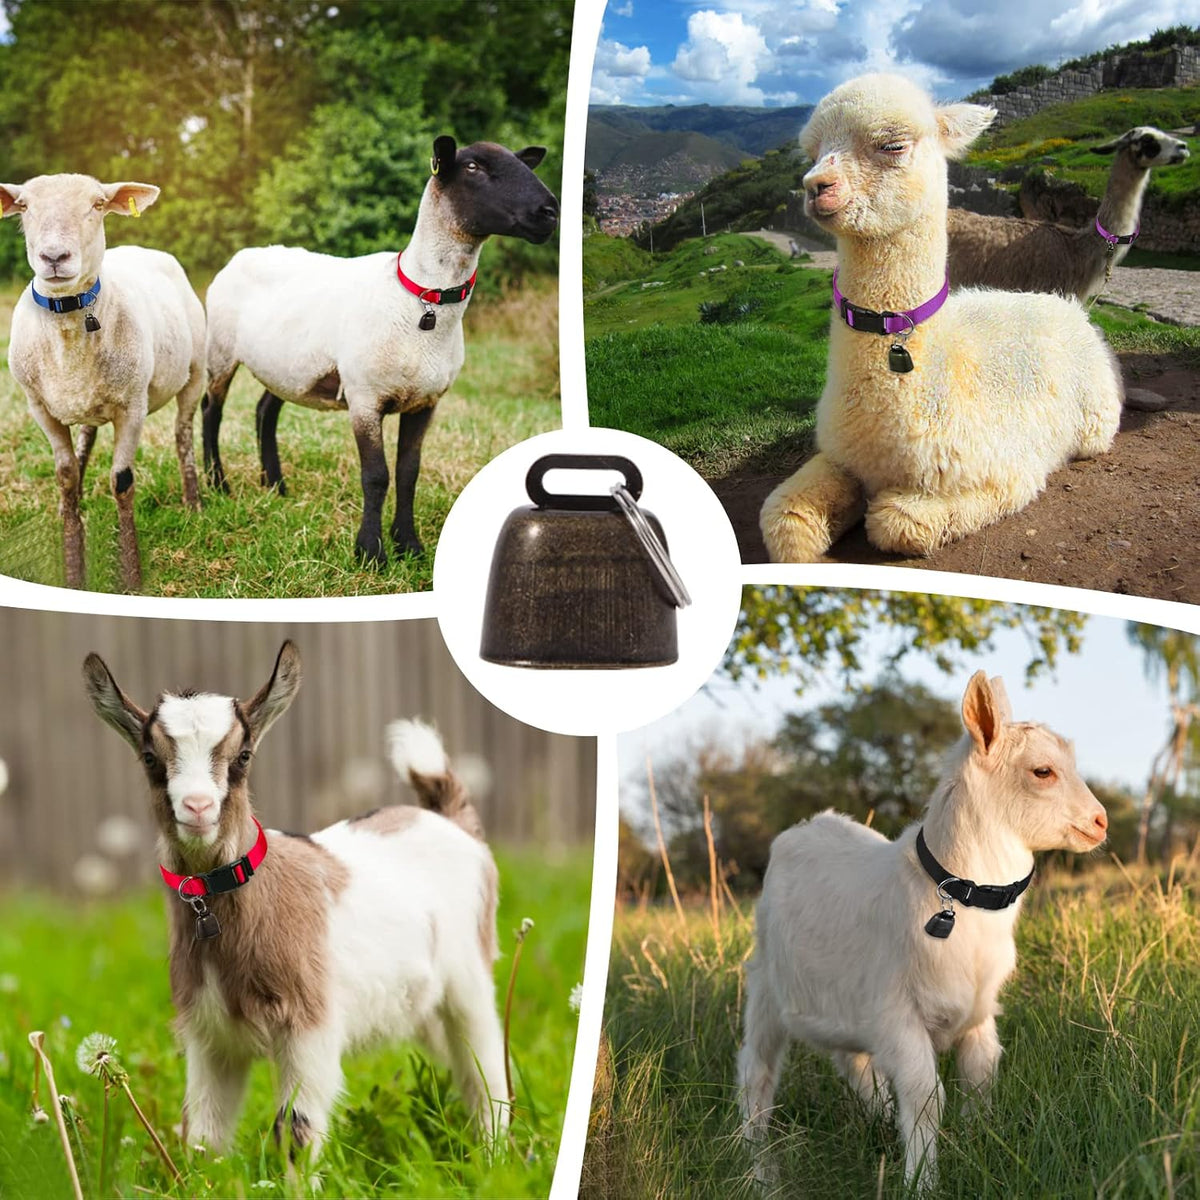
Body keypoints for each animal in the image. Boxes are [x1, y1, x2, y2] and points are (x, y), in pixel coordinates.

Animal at [0, 174, 205, 591]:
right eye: (24, 206)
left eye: (98, 204)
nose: (54, 257)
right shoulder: (39, 408)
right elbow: (65, 477)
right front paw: (73, 571)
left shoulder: (133, 406)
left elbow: (122, 481)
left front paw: (131, 578)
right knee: (86, 441)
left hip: (197, 372)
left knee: (183, 433)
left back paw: (192, 501)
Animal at [82, 641, 508, 1157]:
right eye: (149, 757)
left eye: (243, 756)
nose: (198, 808)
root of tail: (448, 819)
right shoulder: (210, 1037)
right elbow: (203, 1136)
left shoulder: (309, 1025)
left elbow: (295, 1130)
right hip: (422, 1004)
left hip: (469, 979)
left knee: (486, 1068)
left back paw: (495, 1155)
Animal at [202, 135, 559, 567]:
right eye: (473, 167)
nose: (549, 212)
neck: (420, 298)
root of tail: (244, 253)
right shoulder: (364, 398)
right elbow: (376, 476)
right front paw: (370, 551)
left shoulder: (425, 402)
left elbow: (408, 472)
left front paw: (409, 544)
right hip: (220, 350)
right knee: (211, 411)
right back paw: (217, 484)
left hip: (286, 365)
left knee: (263, 411)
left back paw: (276, 486)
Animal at [737, 671, 1108, 1190]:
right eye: (1042, 772)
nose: (1100, 821)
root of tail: (810, 825)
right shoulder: (898, 1012)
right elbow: (925, 1094)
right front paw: (922, 1182)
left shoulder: (978, 1012)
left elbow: (981, 1075)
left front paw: (977, 1145)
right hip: (767, 984)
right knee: (757, 1071)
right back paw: (760, 1166)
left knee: (854, 1063)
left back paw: (874, 1119)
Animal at [760, 75, 1123, 563]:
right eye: (812, 151)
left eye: (892, 144)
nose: (816, 186)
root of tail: (1059, 302)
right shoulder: (840, 455)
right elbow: (785, 520)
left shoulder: (1006, 470)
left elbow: (898, 521)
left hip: (1095, 420)